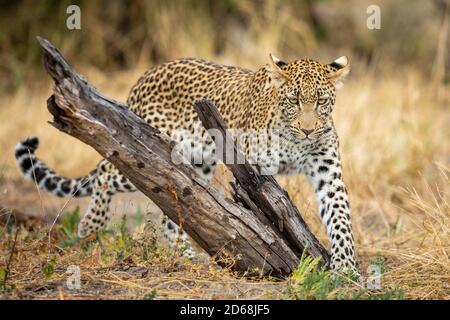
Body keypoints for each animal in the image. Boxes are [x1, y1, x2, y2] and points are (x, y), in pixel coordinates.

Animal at [14, 53, 358, 274]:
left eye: (321, 101)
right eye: (294, 101)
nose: (309, 129)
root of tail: (144, 76)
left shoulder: (328, 174)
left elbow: (340, 219)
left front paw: (347, 269)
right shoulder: (253, 171)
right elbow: (260, 213)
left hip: (194, 166)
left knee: (179, 210)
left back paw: (186, 257)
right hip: (146, 148)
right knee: (107, 165)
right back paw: (90, 224)